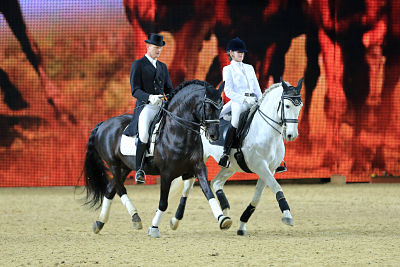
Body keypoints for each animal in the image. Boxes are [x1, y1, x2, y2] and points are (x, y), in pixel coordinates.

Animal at [84, 80, 231, 239]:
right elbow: (163, 203)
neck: (179, 132)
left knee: (111, 189)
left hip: (125, 167)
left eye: (221, 107)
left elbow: (208, 192)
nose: (214, 136)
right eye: (208, 106)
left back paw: (102, 222)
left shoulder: (198, 167)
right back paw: (134, 217)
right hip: (113, 165)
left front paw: (223, 219)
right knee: (119, 188)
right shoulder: (166, 173)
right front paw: (154, 228)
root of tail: (103, 124)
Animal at [169, 78, 304, 236]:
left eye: (300, 106)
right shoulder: (260, 166)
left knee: (216, 182)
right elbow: (276, 186)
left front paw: (242, 225)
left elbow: (257, 197)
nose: (291, 135)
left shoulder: (269, 169)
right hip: (200, 159)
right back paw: (175, 221)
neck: (265, 130)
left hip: (230, 166)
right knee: (188, 187)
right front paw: (287, 216)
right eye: (287, 105)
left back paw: (225, 213)